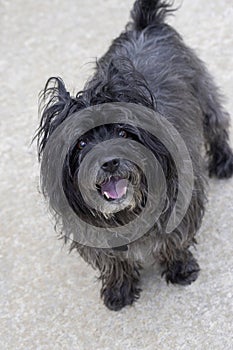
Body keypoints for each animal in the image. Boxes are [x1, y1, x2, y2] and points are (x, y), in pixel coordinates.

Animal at [36, 0, 233, 312]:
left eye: (122, 132)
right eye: (81, 143)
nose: (110, 163)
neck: (128, 211)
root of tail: (145, 24)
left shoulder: (181, 200)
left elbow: (174, 239)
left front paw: (180, 269)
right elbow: (114, 261)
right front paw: (119, 290)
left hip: (203, 93)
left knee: (217, 122)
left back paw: (224, 161)